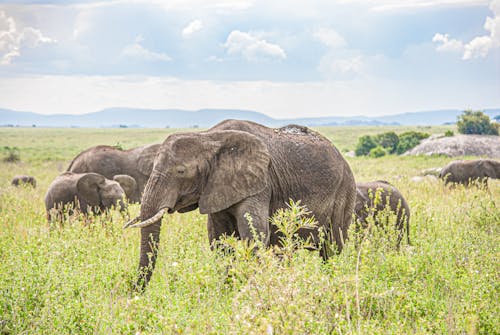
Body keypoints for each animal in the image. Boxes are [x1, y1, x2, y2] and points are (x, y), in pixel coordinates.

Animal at [127, 121, 358, 292]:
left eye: (181, 171)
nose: (133, 292)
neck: (208, 137)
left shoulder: (260, 183)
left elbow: (254, 236)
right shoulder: (216, 188)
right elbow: (219, 240)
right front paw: (227, 292)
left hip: (345, 191)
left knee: (331, 248)